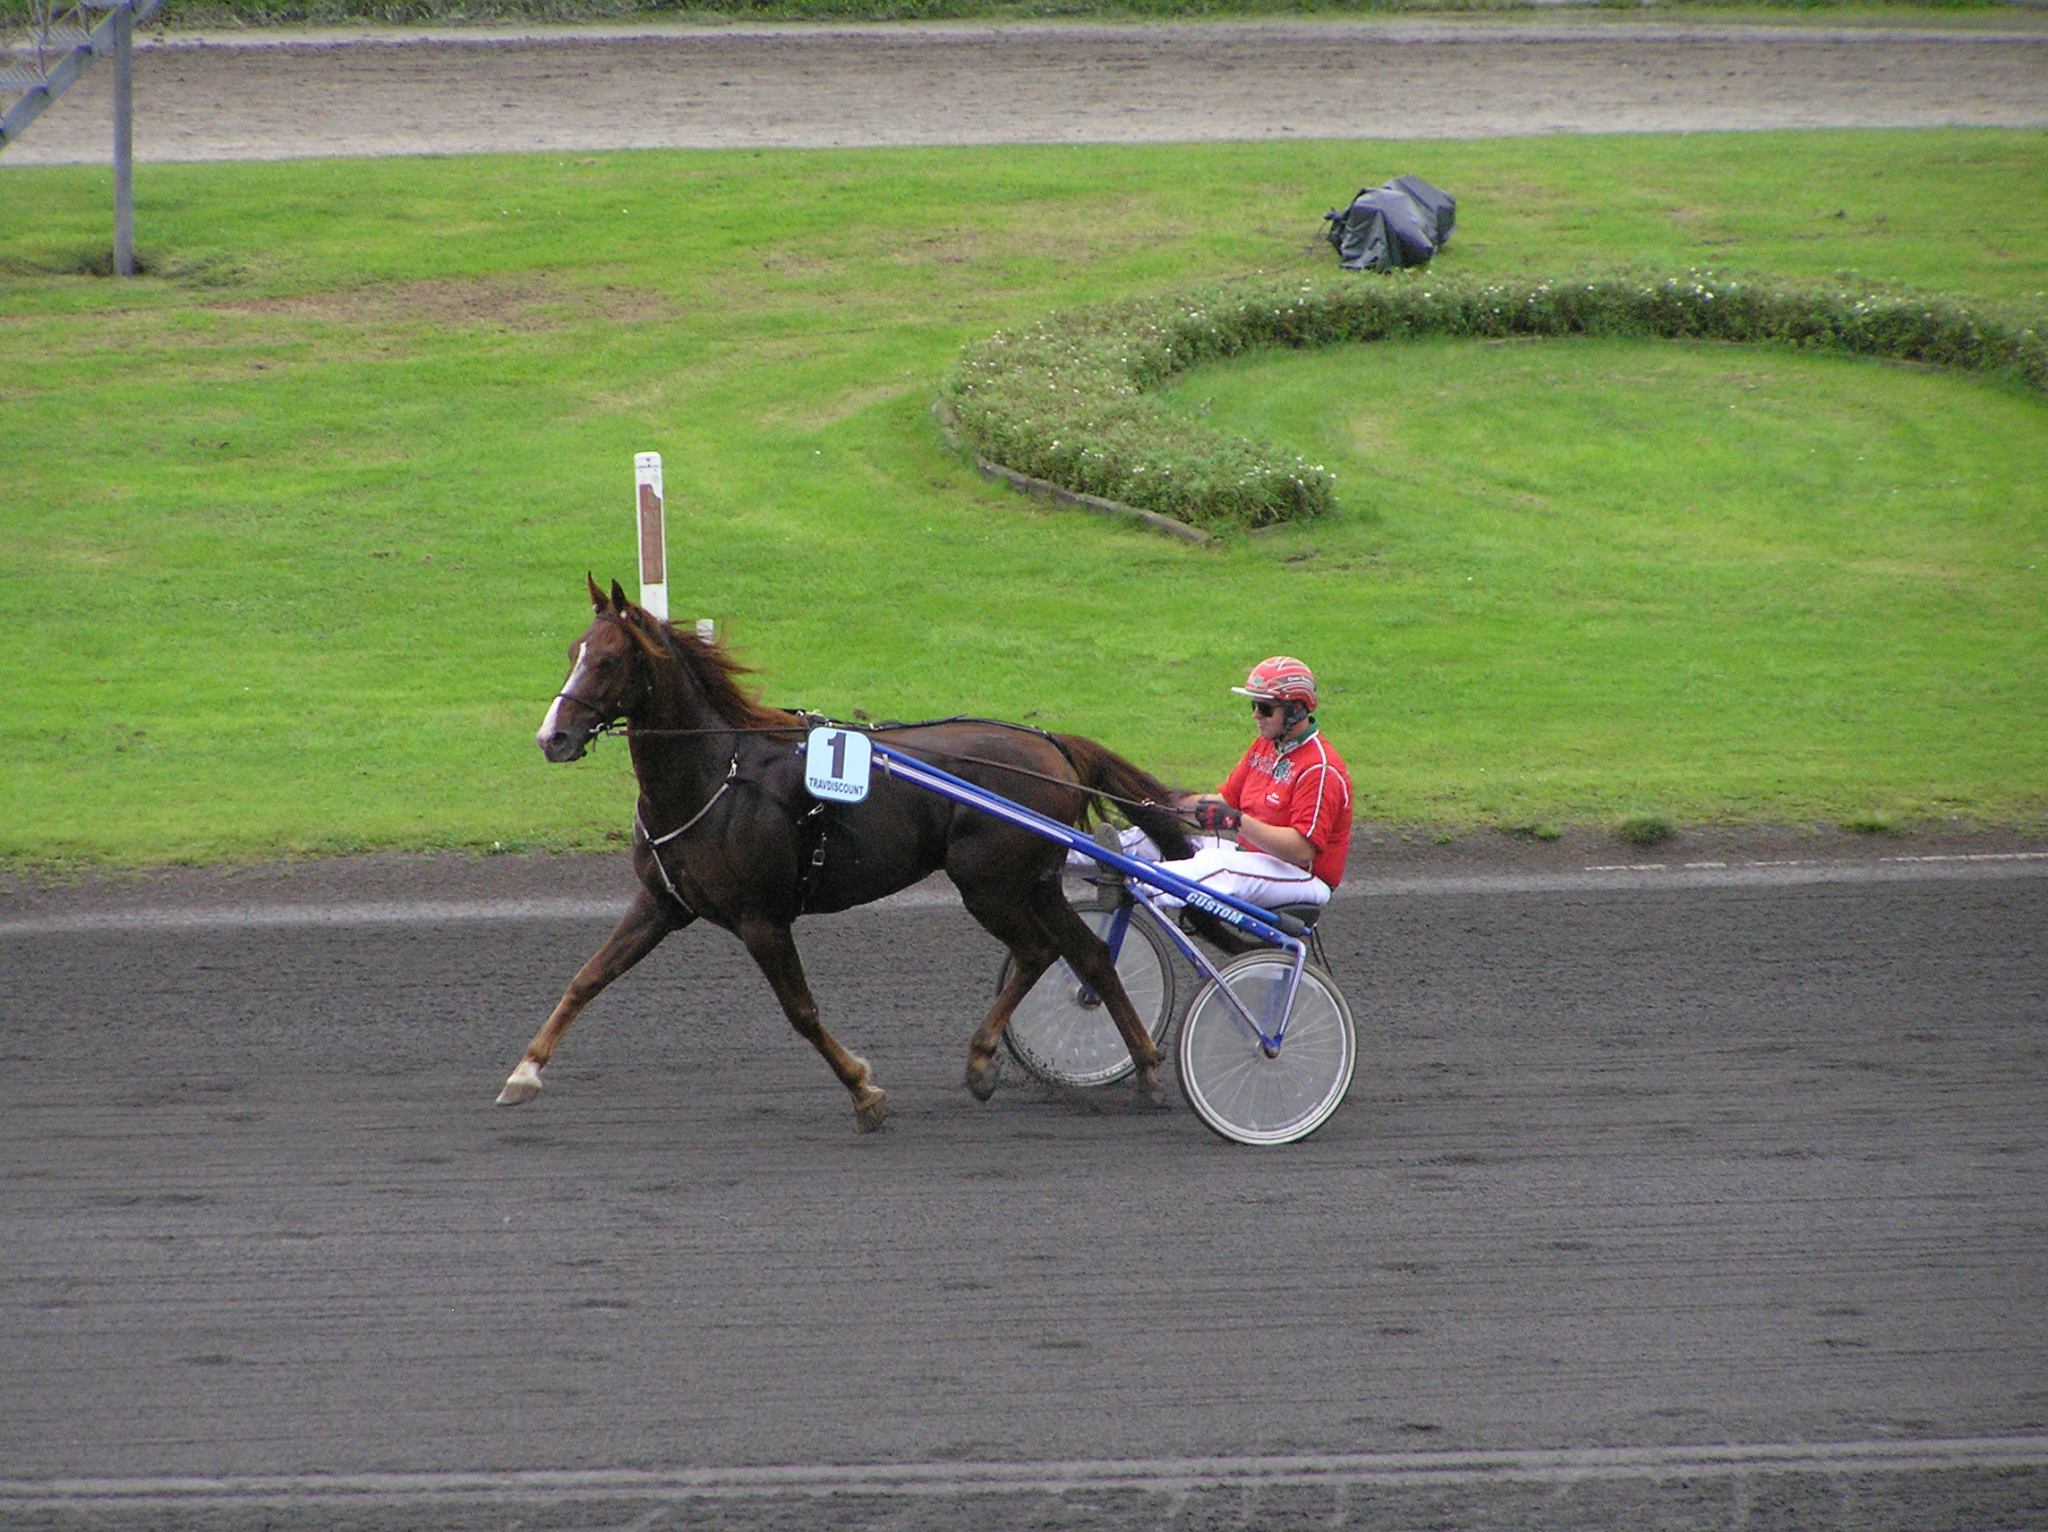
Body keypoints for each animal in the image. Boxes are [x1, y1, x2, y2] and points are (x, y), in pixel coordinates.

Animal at [497, 576, 1196, 1132]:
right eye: (573, 653)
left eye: (609, 660)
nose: (551, 737)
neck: (717, 776)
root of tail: (1051, 743)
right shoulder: (662, 903)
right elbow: (588, 977)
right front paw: (523, 1074)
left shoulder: (761, 918)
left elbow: (801, 1011)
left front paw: (864, 1091)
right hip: (1034, 881)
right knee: (1088, 955)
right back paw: (1144, 1067)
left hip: (990, 884)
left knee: (1038, 951)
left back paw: (986, 1061)